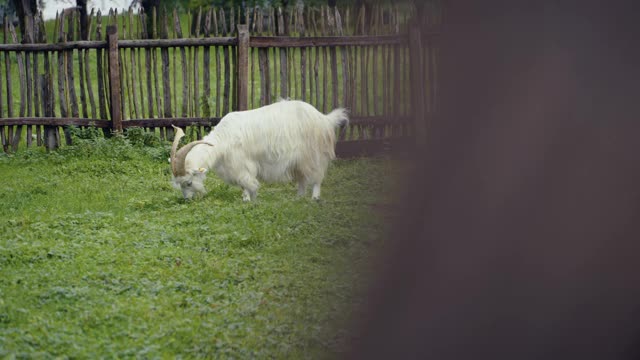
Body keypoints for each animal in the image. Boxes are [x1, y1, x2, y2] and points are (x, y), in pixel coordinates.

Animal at [170, 99, 348, 200]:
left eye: (189, 182)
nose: (187, 200)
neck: (223, 139)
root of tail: (324, 119)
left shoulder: (241, 165)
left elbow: (246, 182)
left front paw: (248, 199)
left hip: (312, 155)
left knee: (316, 177)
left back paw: (314, 197)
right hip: (299, 160)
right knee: (302, 178)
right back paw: (298, 198)